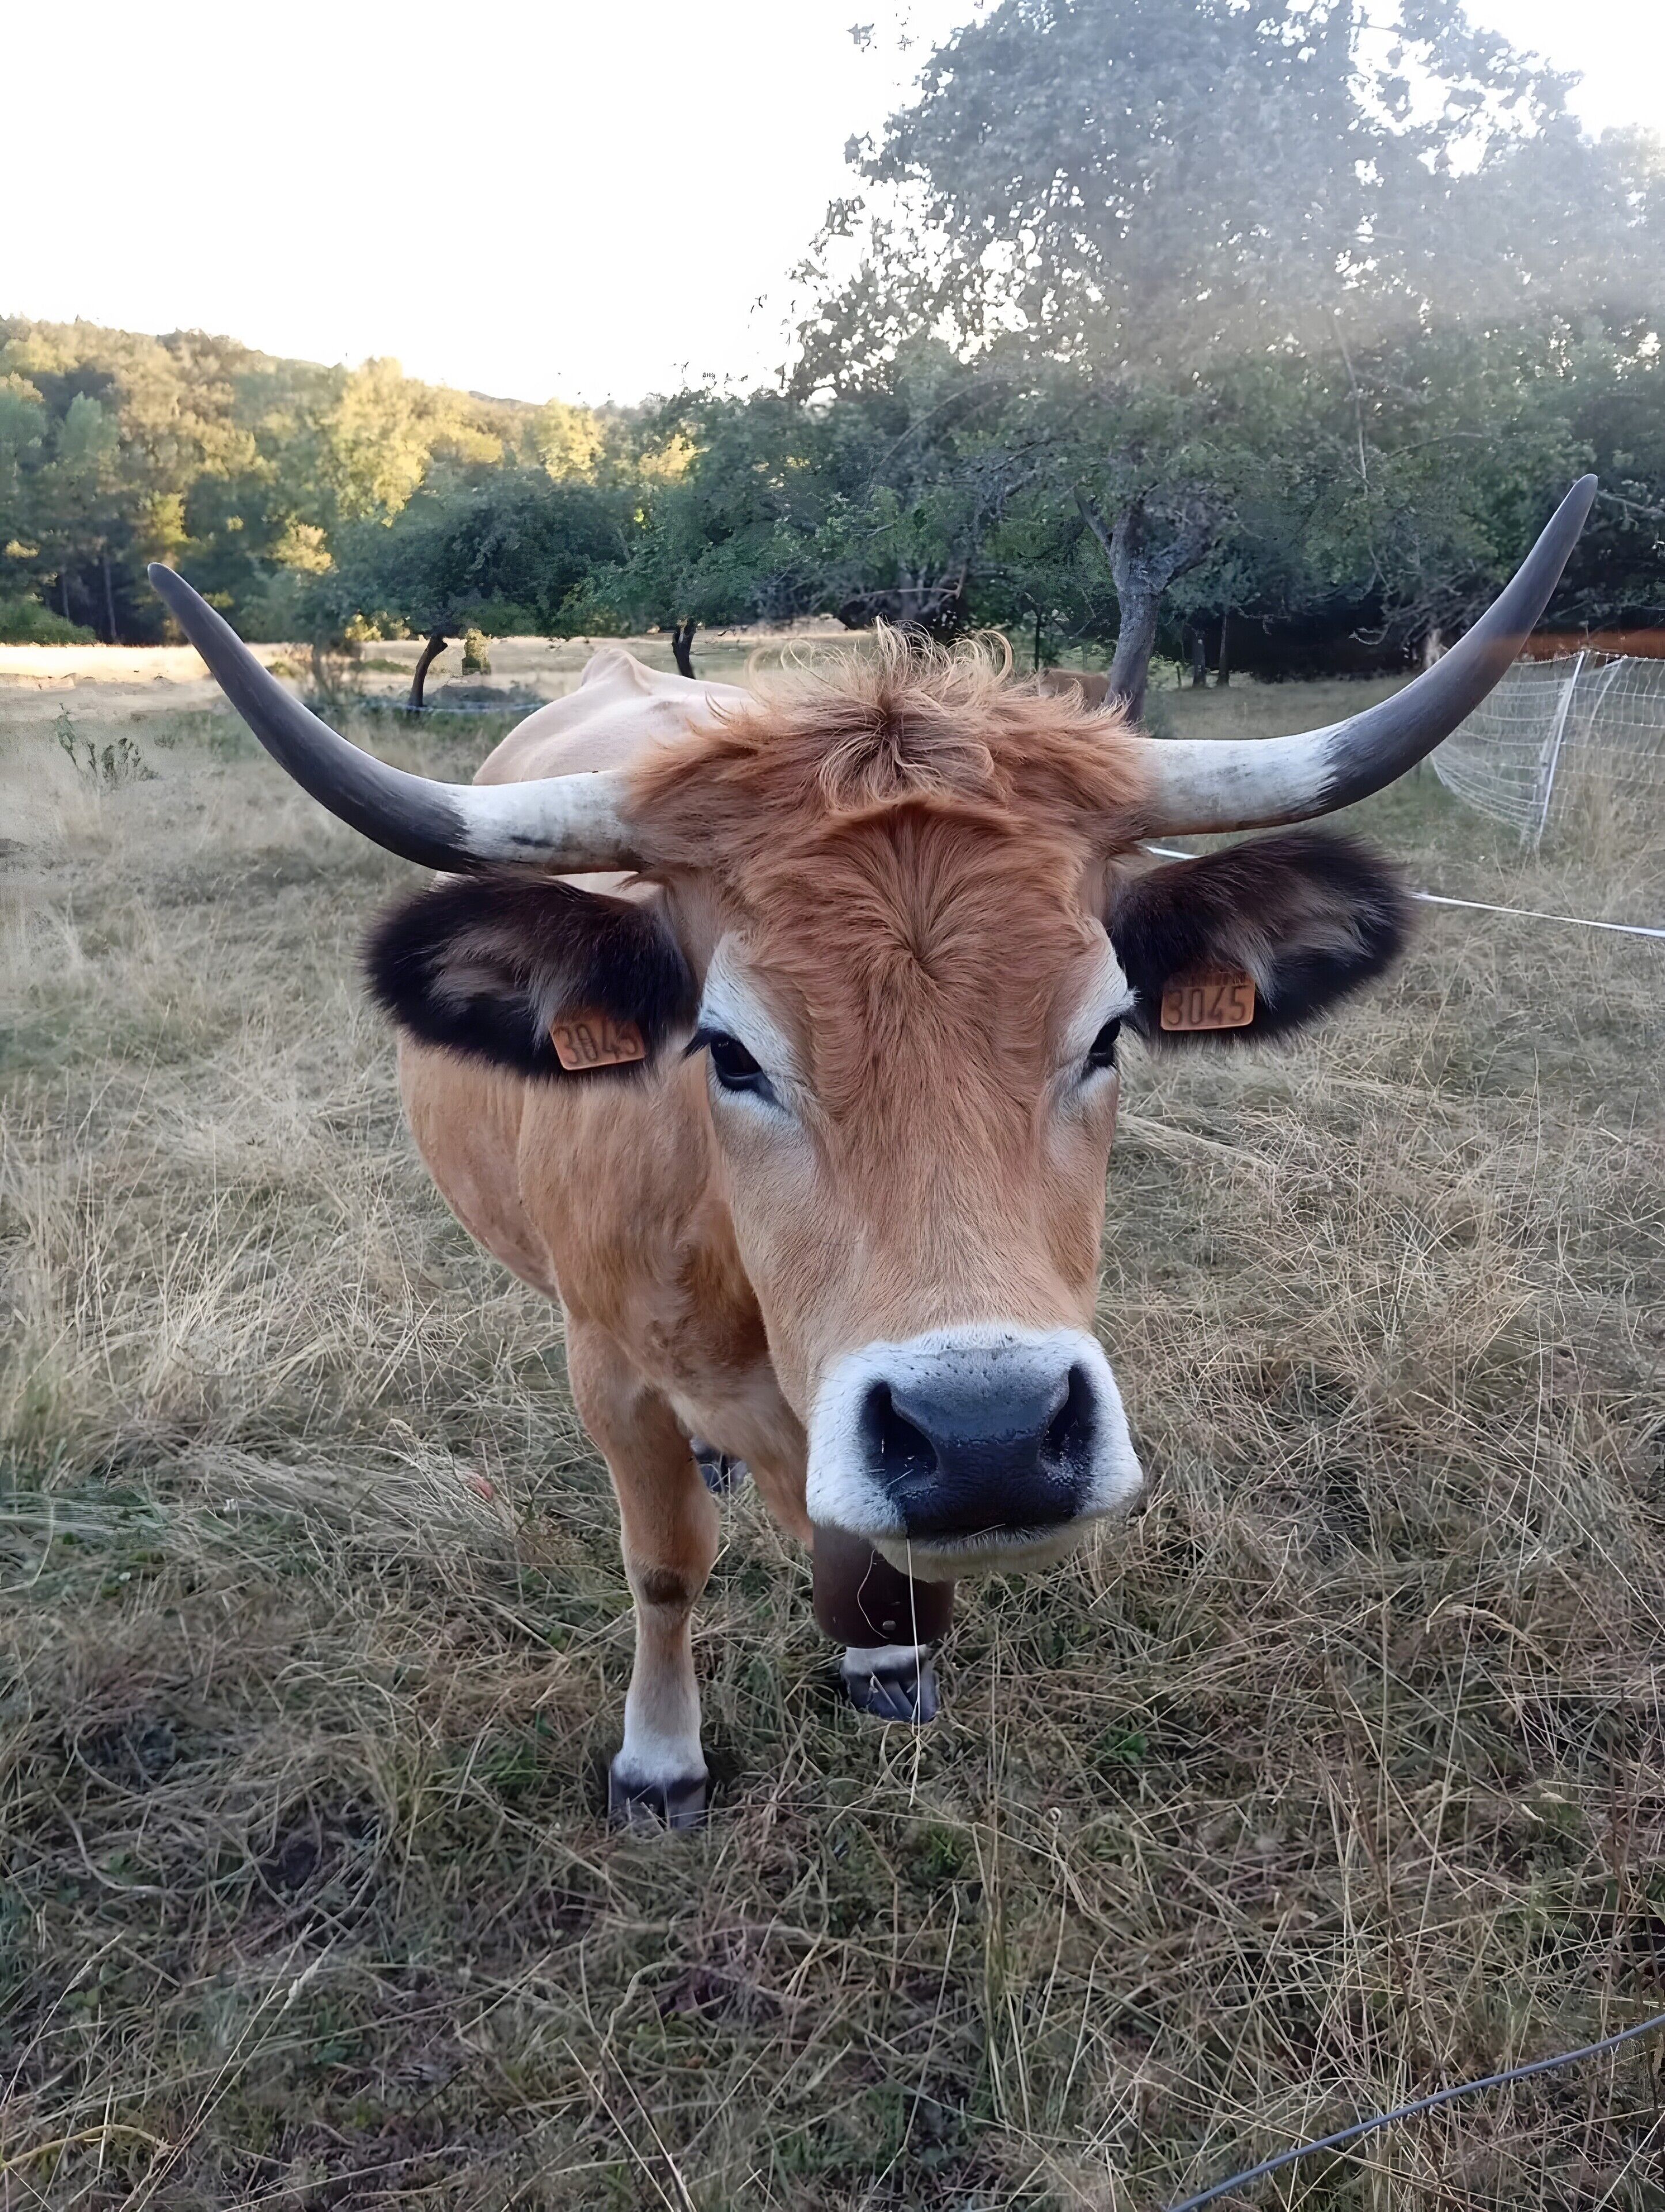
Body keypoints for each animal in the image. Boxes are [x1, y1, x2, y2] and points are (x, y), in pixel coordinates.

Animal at [147, 477, 1594, 1829]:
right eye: (726, 1050)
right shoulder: (606, 1368)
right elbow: (664, 1560)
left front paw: (883, 1659)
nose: (986, 1436)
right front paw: (659, 1756)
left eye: (1108, 1030)